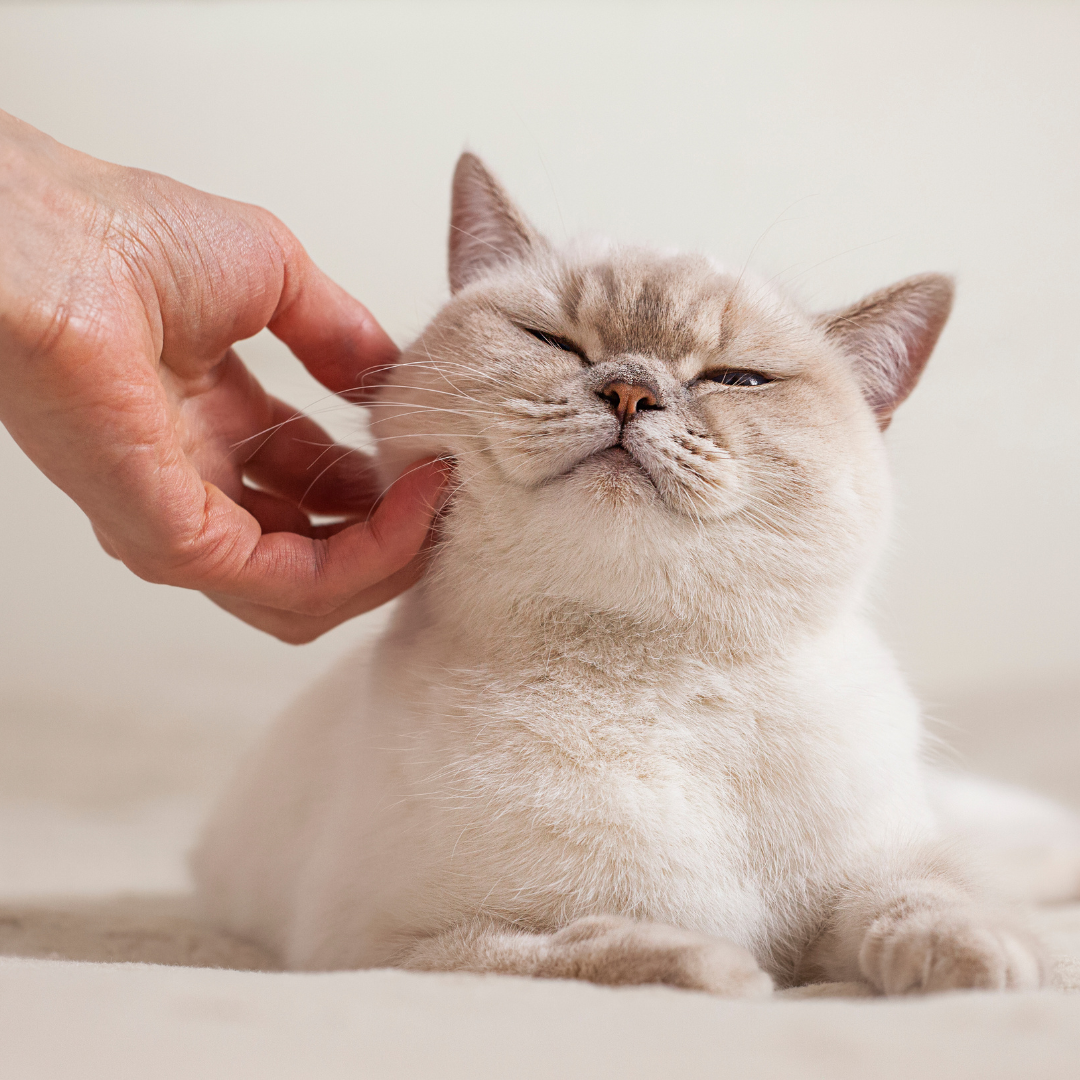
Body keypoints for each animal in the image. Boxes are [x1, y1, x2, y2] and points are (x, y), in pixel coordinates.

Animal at [192, 152, 1045, 993]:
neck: (650, 677)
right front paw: (727, 971)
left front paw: (977, 960)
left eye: (737, 380)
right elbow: (598, 950)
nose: (629, 390)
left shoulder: (863, 877)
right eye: (554, 341)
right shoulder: (386, 948)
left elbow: (925, 896)